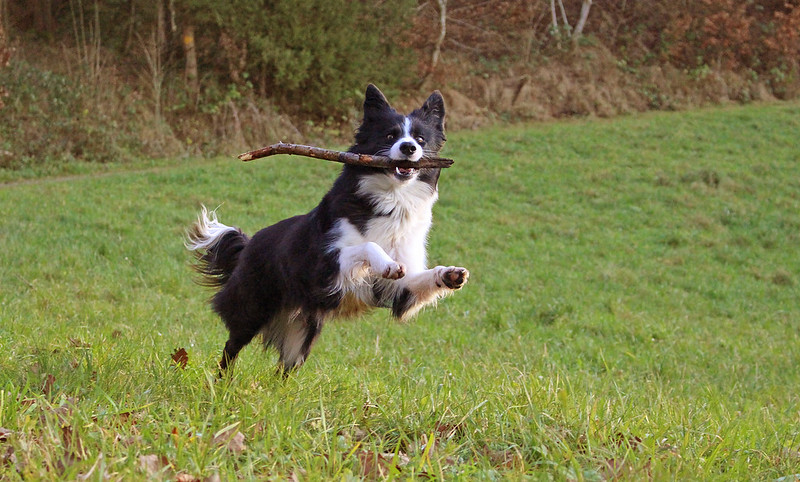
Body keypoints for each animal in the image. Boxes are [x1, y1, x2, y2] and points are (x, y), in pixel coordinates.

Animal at [184, 84, 466, 374]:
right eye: (390, 135)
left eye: (420, 139)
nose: (409, 148)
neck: (391, 200)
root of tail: (248, 244)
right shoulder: (322, 266)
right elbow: (367, 245)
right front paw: (385, 263)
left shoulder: (398, 291)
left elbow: (416, 280)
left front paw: (450, 274)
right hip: (251, 309)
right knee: (230, 351)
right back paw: (222, 383)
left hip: (302, 332)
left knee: (284, 369)